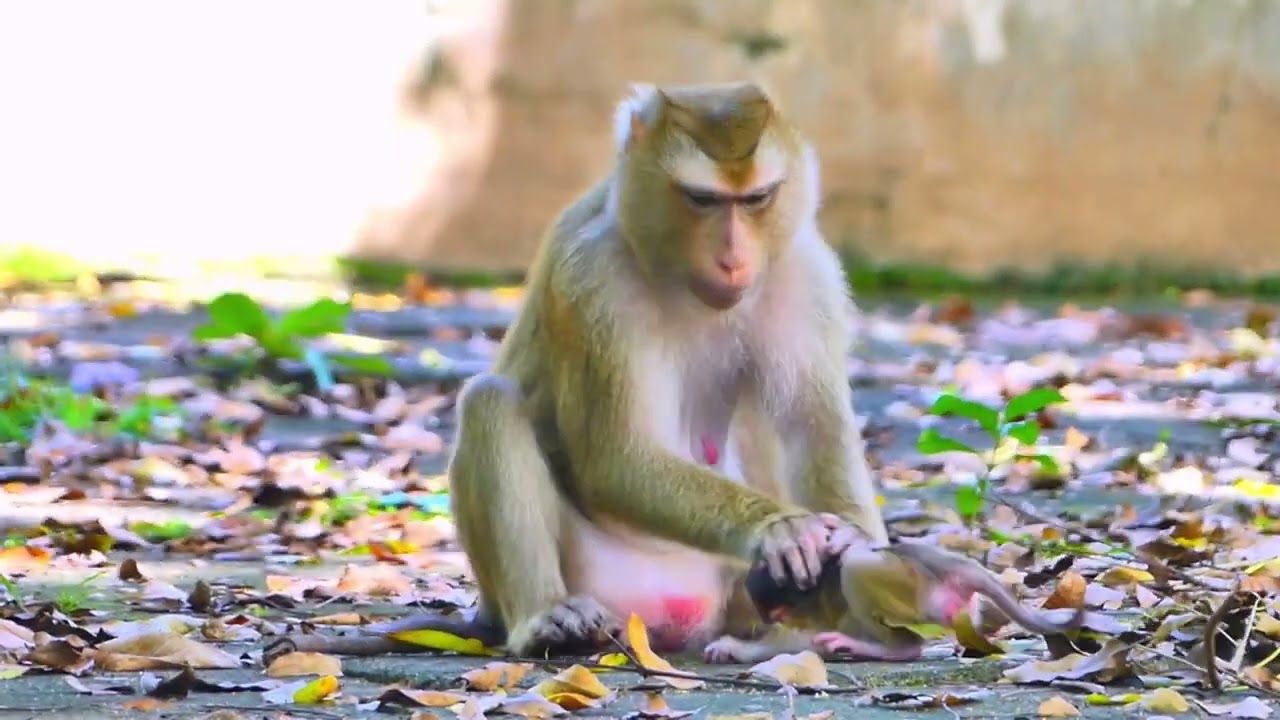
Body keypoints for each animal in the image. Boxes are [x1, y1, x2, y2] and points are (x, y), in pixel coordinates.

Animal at [365, 81, 888, 657]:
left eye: (756, 199)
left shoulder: (806, 272)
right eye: (702, 199)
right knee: (491, 402)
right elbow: (614, 455)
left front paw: (851, 533)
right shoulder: (594, 279)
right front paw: (775, 526)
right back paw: (547, 617)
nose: (732, 260)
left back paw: (786, 641)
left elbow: (810, 424)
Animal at [702, 542, 1088, 664]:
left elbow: (802, 640)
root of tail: (943, 563)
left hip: (917, 592)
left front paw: (733, 648)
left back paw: (896, 648)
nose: (764, 622)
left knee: (856, 564)